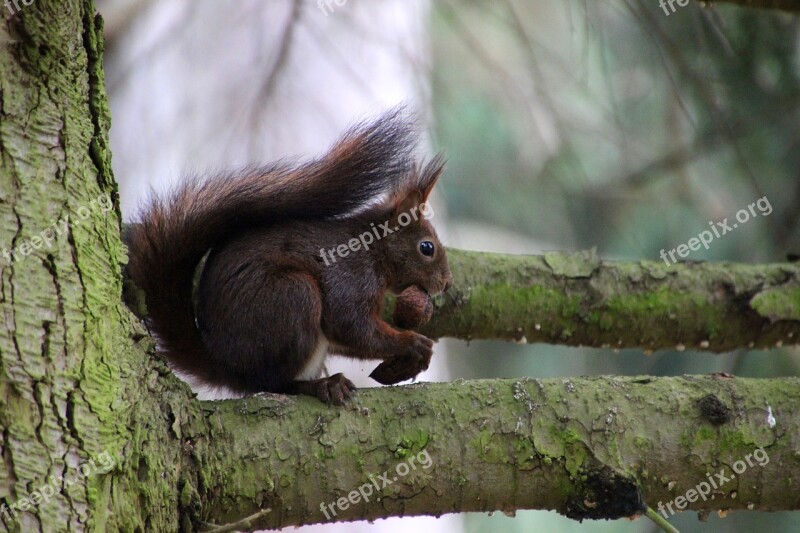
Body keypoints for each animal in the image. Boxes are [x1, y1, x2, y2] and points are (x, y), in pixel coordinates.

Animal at [123, 109, 450, 404]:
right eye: (427, 248)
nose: (446, 283)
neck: (373, 251)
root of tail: (226, 367)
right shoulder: (350, 276)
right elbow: (351, 326)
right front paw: (412, 343)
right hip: (292, 298)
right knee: (273, 383)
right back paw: (322, 386)